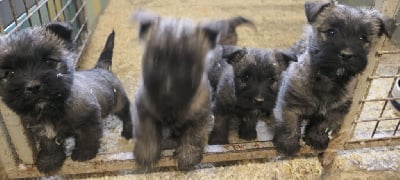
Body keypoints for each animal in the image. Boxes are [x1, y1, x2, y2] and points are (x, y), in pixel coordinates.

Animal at [0, 22, 134, 173]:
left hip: (119, 102)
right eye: (9, 73)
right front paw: (49, 161)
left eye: (49, 61)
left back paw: (129, 131)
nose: (33, 86)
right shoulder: (44, 132)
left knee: (127, 113)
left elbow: (88, 137)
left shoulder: (90, 119)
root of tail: (101, 67)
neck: (52, 109)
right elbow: (50, 147)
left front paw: (83, 154)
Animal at [133, 9, 217, 170]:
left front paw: (187, 155)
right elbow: (147, 130)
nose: (167, 93)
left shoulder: (201, 117)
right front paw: (146, 153)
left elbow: (193, 135)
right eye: (156, 60)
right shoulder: (144, 109)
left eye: (189, 64)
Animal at [272, 0, 396, 155]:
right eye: (331, 32)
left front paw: (316, 139)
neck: (328, 79)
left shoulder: (334, 111)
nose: (346, 55)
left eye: (362, 38)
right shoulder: (291, 103)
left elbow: (322, 125)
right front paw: (288, 144)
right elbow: (290, 123)